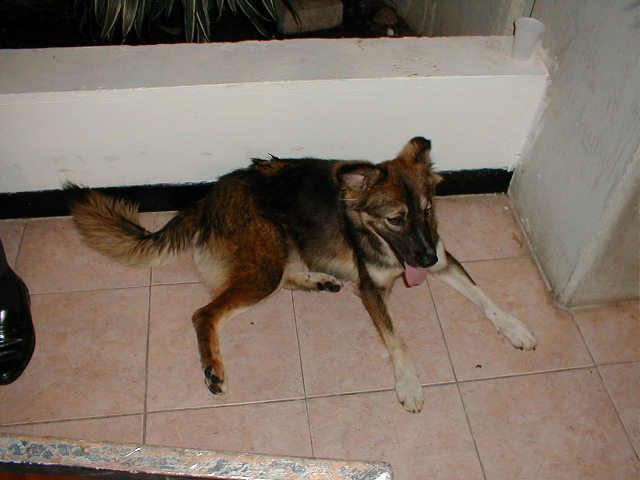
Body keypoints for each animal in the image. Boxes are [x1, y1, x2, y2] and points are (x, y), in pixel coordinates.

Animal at [65, 137, 537, 413]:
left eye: (425, 211)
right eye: (396, 219)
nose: (423, 258)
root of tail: (206, 196)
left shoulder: (443, 259)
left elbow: (485, 296)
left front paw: (515, 327)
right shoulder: (372, 290)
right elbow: (398, 339)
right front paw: (410, 384)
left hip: (276, 256)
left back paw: (318, 280)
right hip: (265, 261)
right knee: (205, 313)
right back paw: (213, 367)